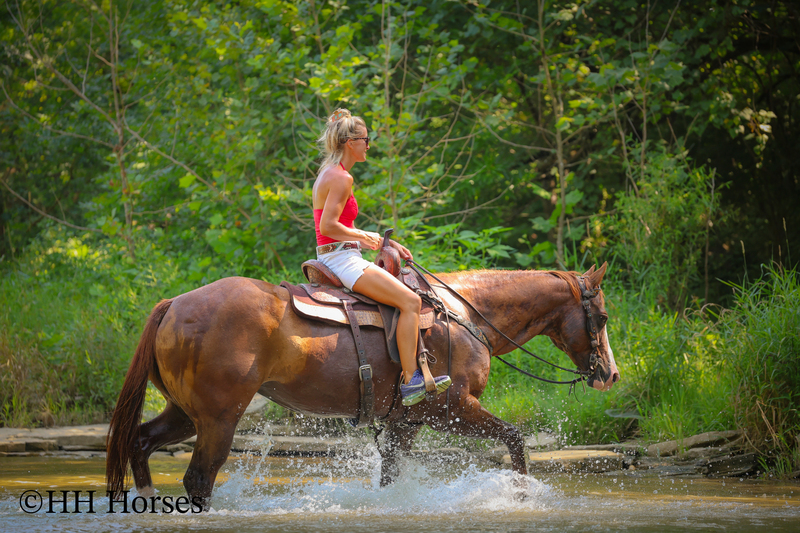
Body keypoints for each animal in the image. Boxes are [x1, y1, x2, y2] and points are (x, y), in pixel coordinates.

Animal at [106, 262, 619, 508]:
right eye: (602, 318)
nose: (610, 375)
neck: (465, 314)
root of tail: (174, 304)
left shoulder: (406, 423)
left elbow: (390, 476)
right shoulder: (451, 409)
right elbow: (515, 439)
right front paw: (519, 496)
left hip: (185, 412)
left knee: (142, 442)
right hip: (218, 417)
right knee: (199, 478)